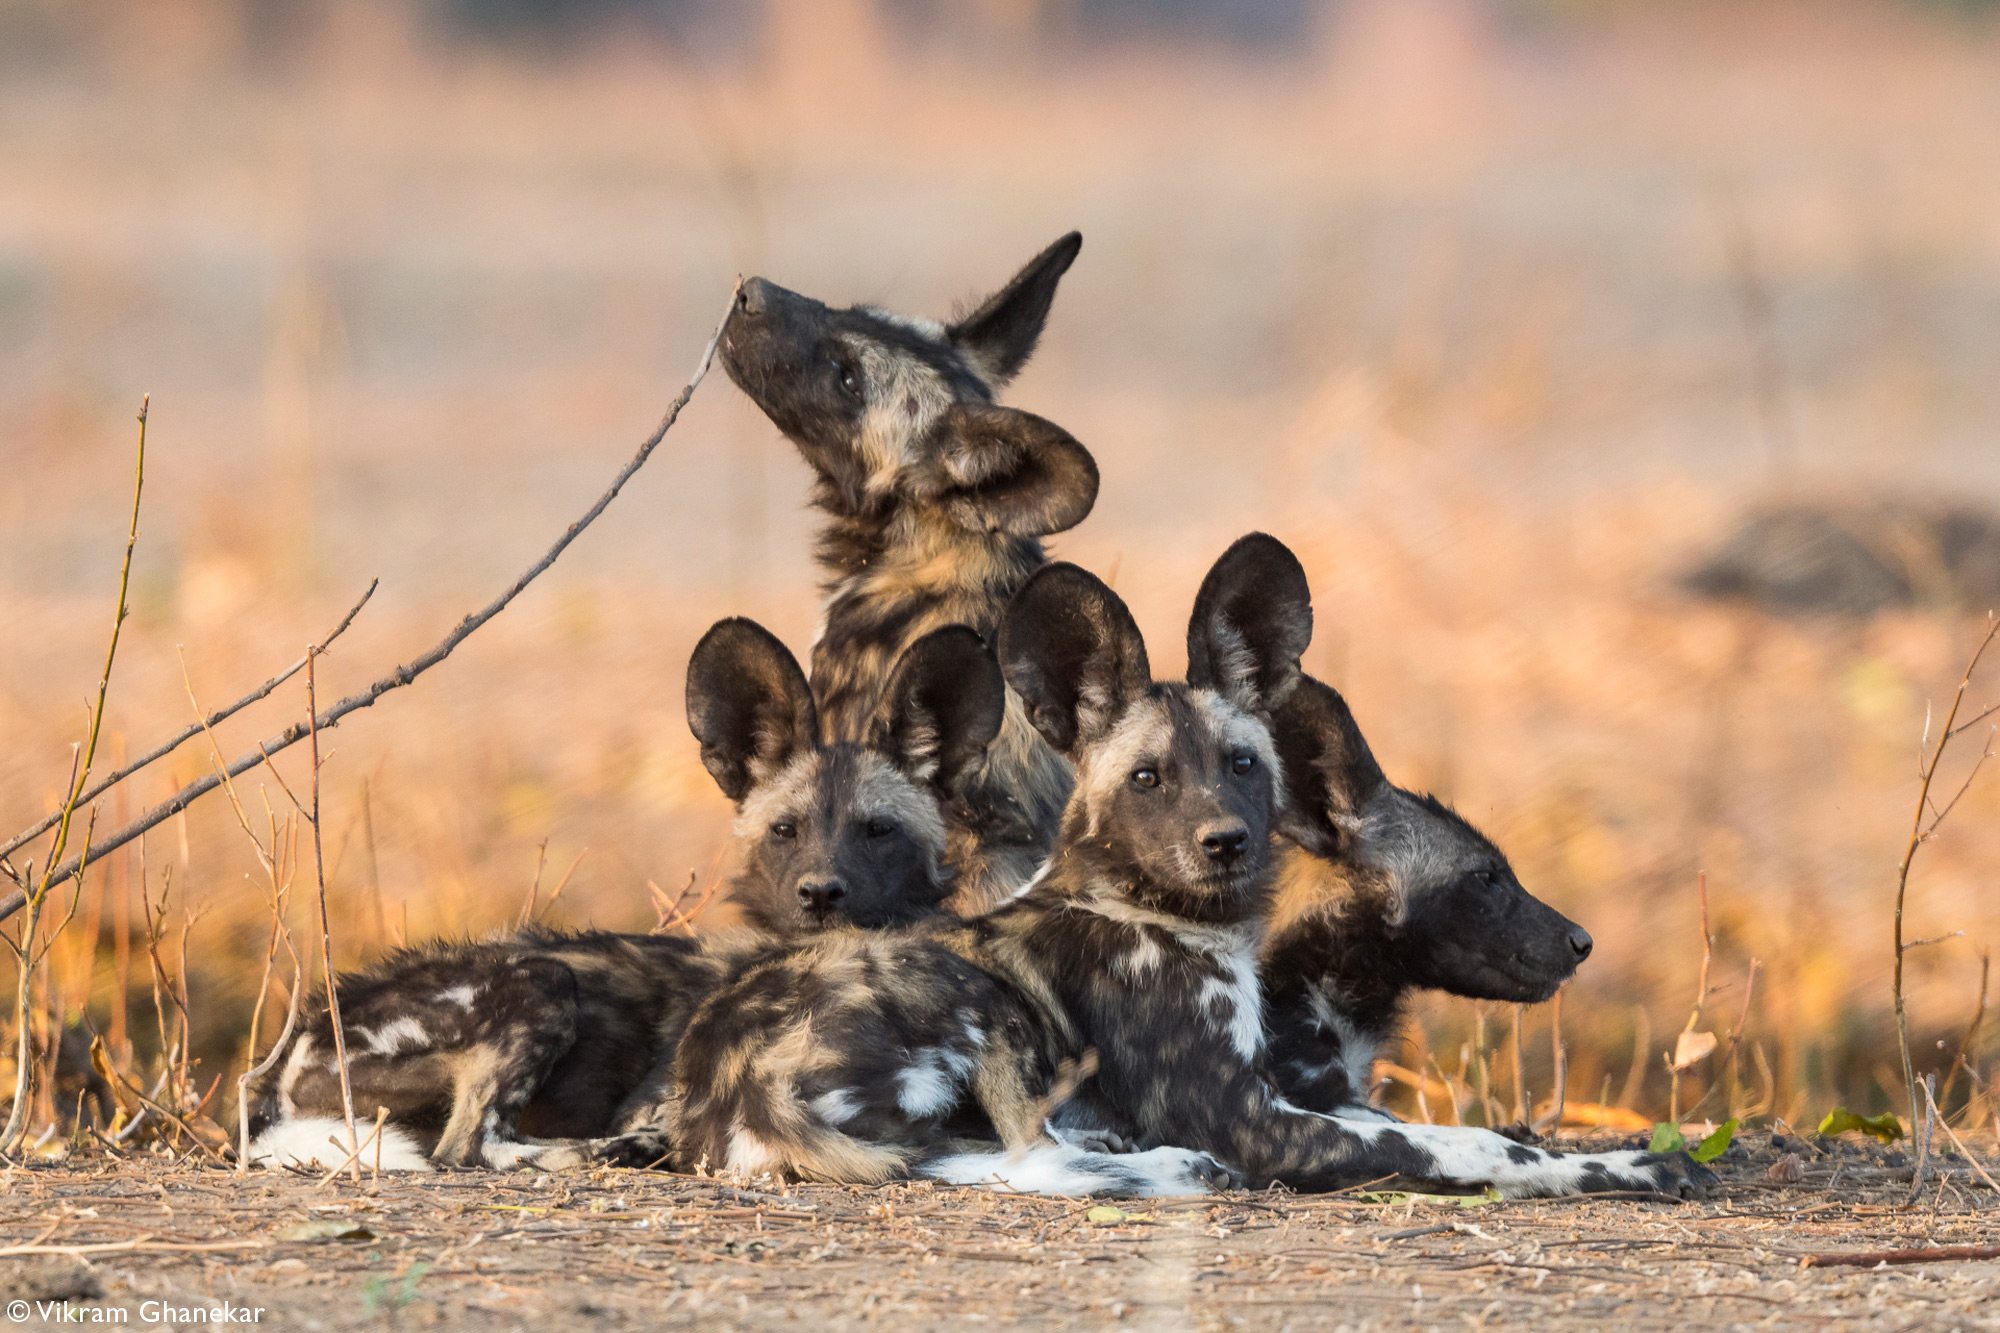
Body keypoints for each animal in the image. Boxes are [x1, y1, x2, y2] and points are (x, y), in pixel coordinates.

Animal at [242, 616, 1008, 1168]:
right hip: (540, 982)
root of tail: (288, 1054)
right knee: (470, 1146)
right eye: (785, 830)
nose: (820, 893)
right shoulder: (660, 1102)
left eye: (878, 830)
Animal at [640, 536, 1704, 1192]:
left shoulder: (1307, 1098)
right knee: (1027, 1159)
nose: (1224, 841)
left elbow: (1466, 1130)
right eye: (1148, 778)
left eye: (1241, 764)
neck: (1178, 926)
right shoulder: (1261, 1120)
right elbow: (1467, 1146)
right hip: (976, 1002)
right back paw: (1164, 1166)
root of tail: (725, 1075)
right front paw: (1628, 1170)